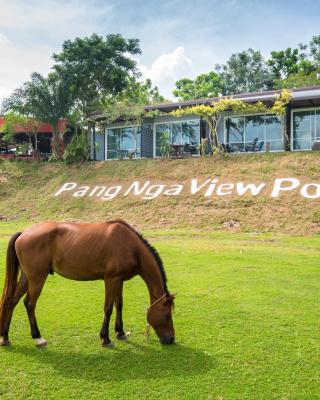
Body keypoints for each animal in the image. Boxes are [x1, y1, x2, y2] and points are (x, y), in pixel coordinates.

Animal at [0, 220, 175, 348]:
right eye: (167, 315)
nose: (171, 339)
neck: (131, 246)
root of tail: (24, 233)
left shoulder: (119, 280)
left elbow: (119, 305)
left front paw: (120, 332)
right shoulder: (111, 279)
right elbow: (108, 308)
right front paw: (105, 338)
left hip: (27, 277)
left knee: (11, 301)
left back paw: (4, 337)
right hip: (37, 278)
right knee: (29, 303)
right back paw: (38, 337)